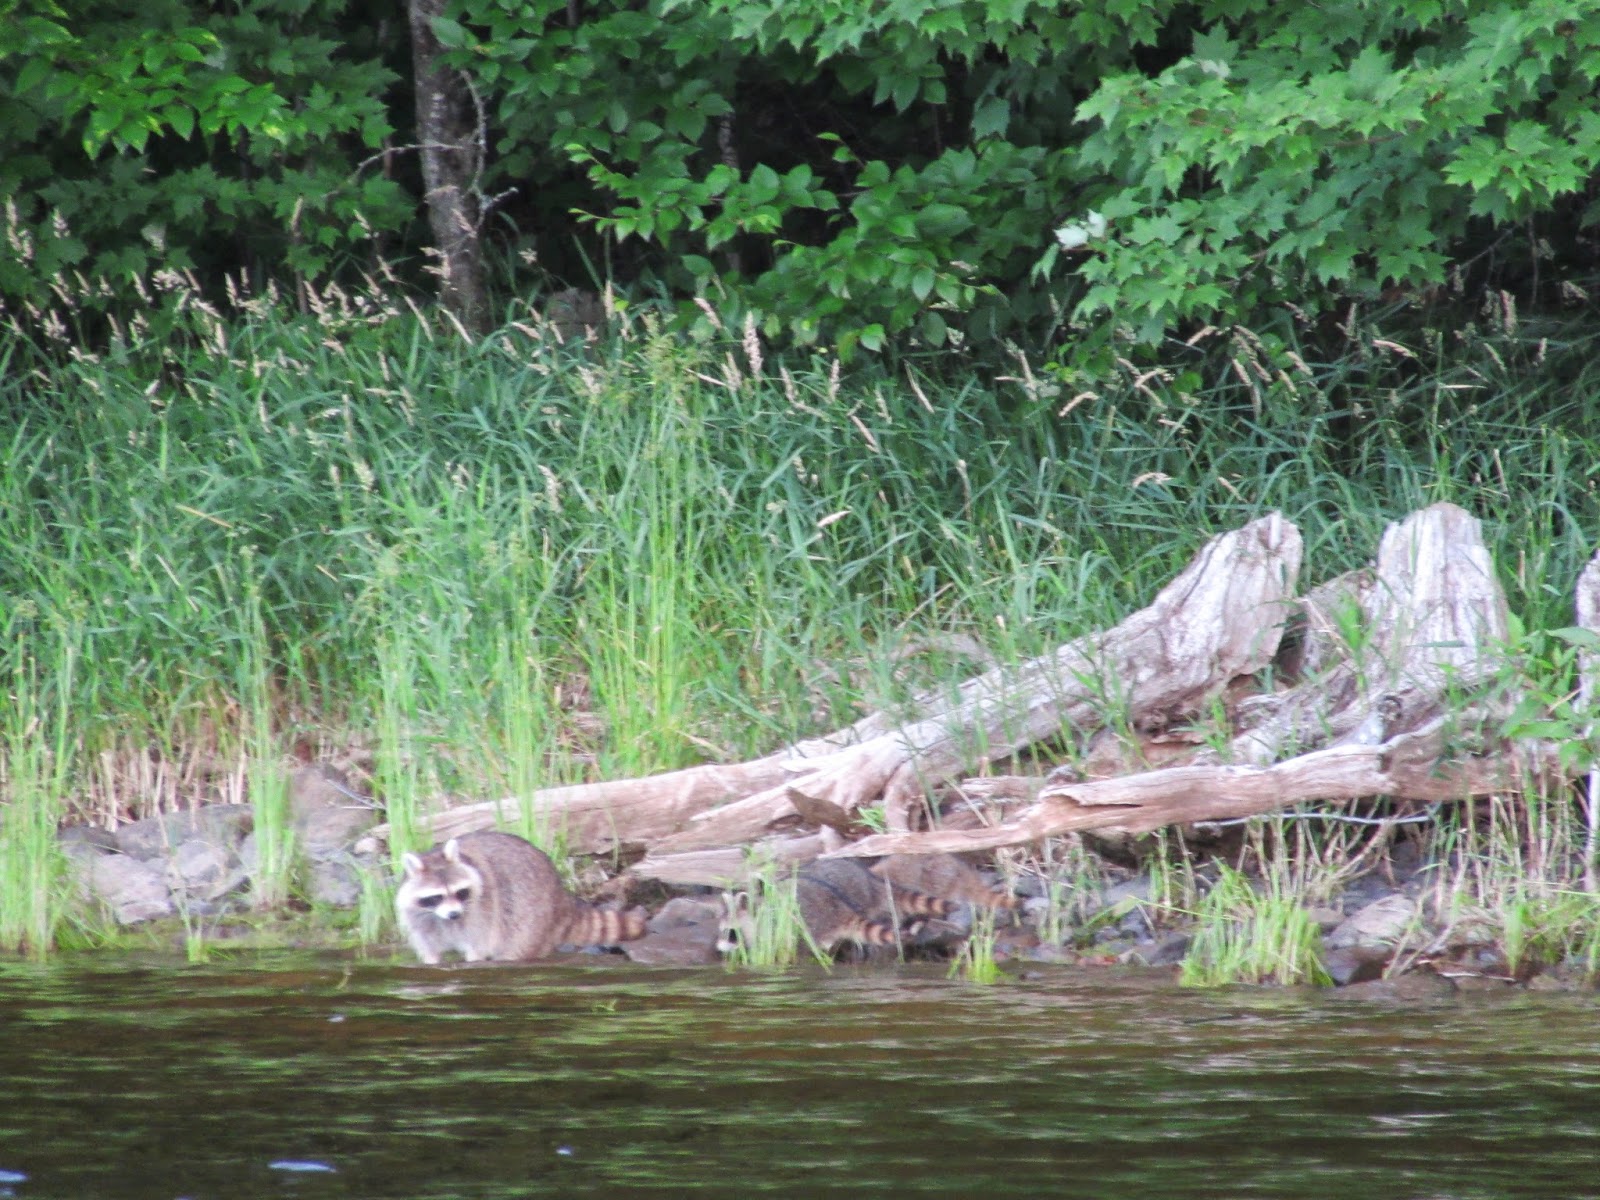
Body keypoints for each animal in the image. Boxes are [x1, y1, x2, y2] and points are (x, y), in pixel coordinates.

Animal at [395, 830, 645, 964]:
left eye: (460, 892)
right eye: (436, 897)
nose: (454, 914)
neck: (440, 918)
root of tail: (560, 896)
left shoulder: (482, 912)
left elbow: (477, 948)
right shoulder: (418, 920)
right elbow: (430, 951)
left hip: (530, 915)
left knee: (515, 947)